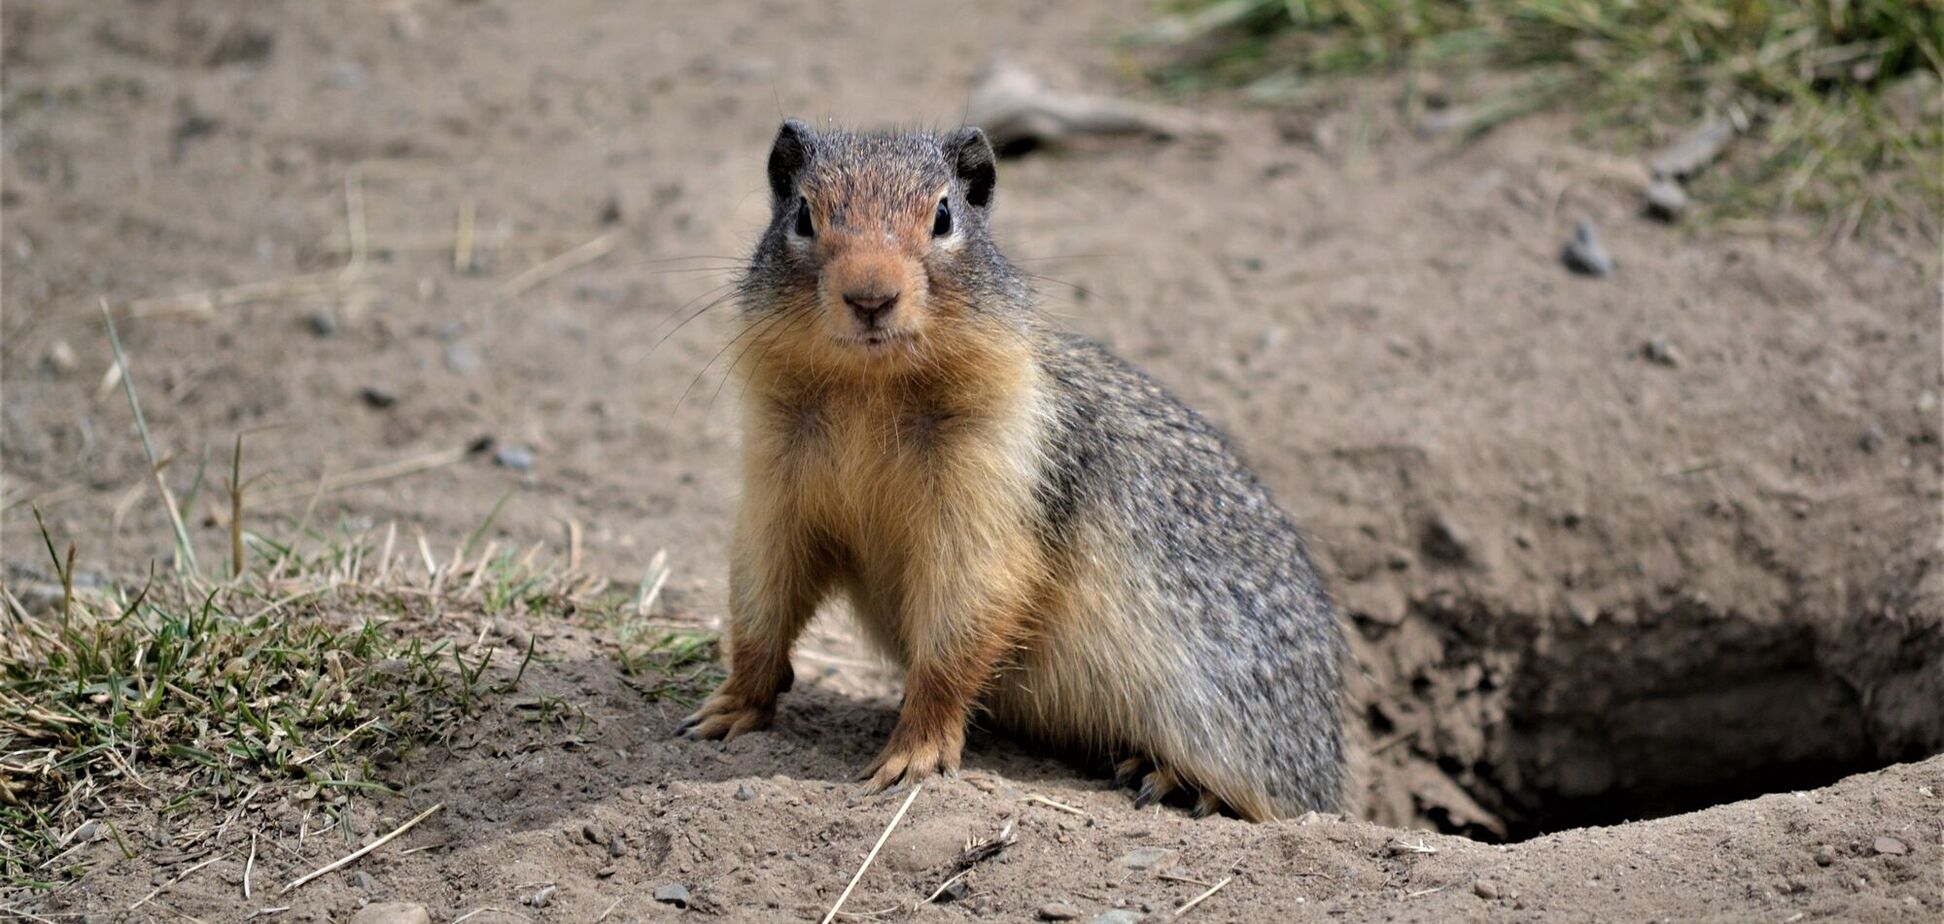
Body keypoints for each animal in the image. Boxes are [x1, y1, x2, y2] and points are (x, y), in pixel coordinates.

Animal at [676, 119, 1345, 820]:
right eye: (803, 214)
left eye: (944, 215)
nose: (870, 297)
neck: (869, 390)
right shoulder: (775, 478)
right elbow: (762, 591)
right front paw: (726, 711)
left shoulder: (989, 487)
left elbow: (961, 620)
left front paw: (911, 755)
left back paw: (1173, 780)